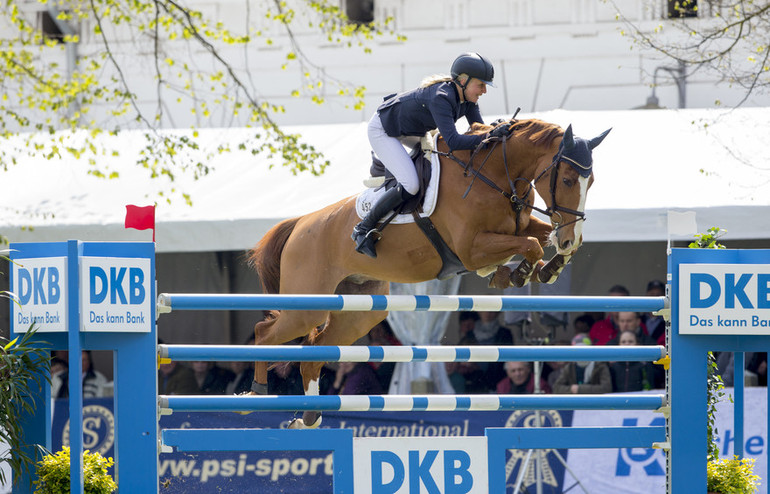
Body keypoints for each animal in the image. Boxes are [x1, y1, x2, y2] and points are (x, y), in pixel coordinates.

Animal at [246, 117, 608, 426]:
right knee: (264, 332)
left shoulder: (517, 225)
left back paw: (309, 416)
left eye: (591, 181)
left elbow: (541, 237)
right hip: (307, 306)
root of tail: (299, 223)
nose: (568, 235)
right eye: (566, 179)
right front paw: (516, 273)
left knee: (314, 351)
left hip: (360, 311)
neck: (495, 174)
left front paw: (549, 265)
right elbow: (531, 244)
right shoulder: (470, 248)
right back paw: (255, 394)